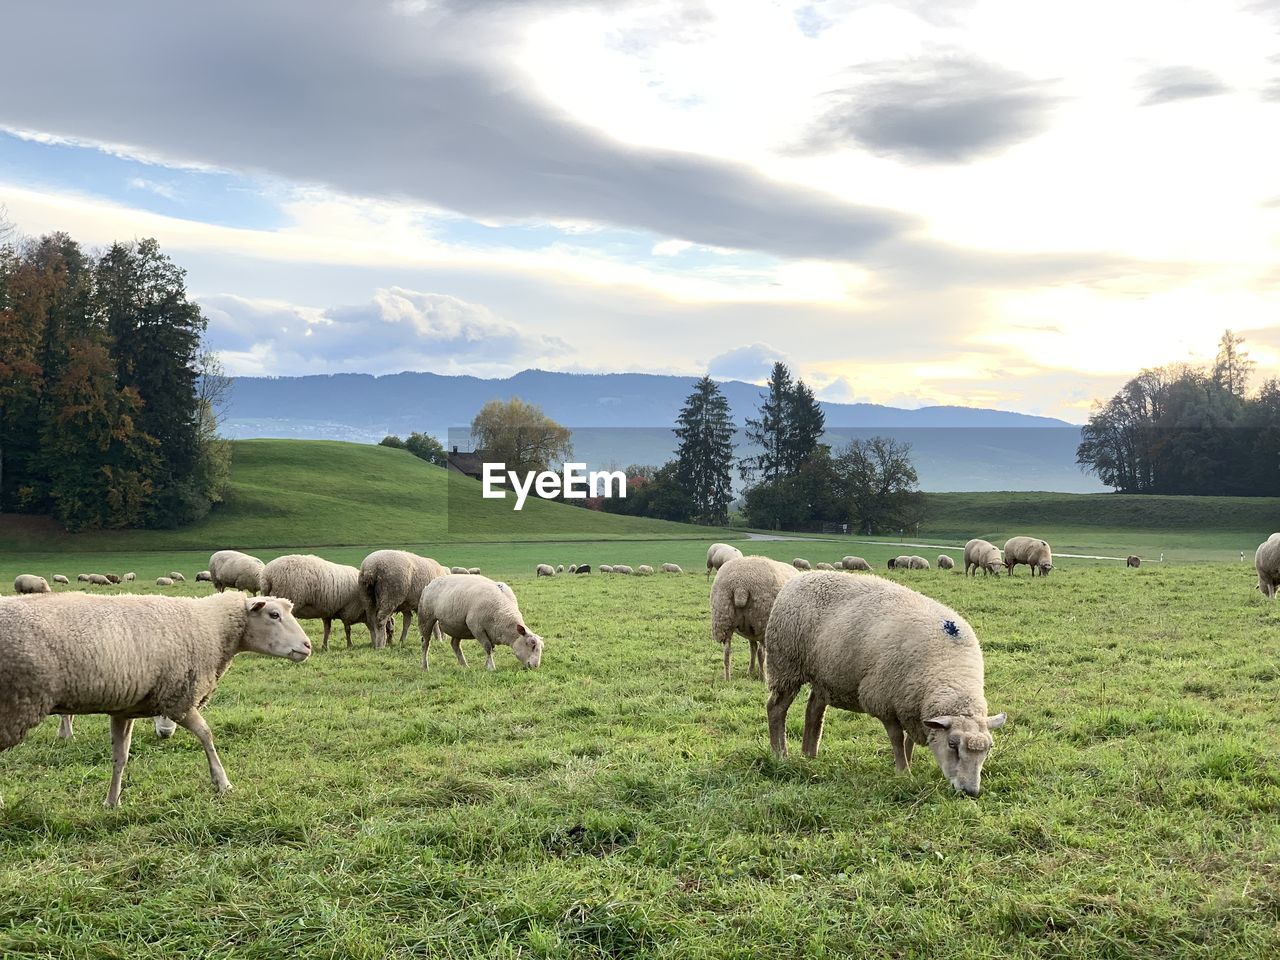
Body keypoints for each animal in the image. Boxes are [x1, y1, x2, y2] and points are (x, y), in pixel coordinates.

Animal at [0, 591, 309, 808]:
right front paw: (222, 783)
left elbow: (120, 757)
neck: (212, 628)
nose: (307, 646)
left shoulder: (124, 710)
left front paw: (112, 801)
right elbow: (207, 735)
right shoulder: (178, 698)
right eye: (273, 615)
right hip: (14, 704)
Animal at [262, 555, 391, 655]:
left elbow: (327, 630)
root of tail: (267, 577)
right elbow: (347, 630)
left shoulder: (327, 612)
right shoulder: (348, 610)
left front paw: (325, 647)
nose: (388, 644)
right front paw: (350, 645)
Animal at [711, 555, 798, 686]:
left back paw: (727, 678)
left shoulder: (750, 632)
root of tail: (740, 586)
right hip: (762, 620)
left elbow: (752, 649)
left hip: (723, 618)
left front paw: (750, 671)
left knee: (727, 652)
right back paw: (764, 678)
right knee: (762, 654)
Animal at [762, 570, 1003, 798]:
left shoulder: (911, 705)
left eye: (988, 749)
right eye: (953, 745)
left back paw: (809, 756)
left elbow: (909, 741)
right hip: (785, 664)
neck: (948, 669)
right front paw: (903, 772)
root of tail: (801, 577)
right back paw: (780, 755)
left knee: (813, 712)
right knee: (776, 709)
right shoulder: (883, 701)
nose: (970, 792)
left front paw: (908, 763)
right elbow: (897, 739)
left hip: (824, 675)